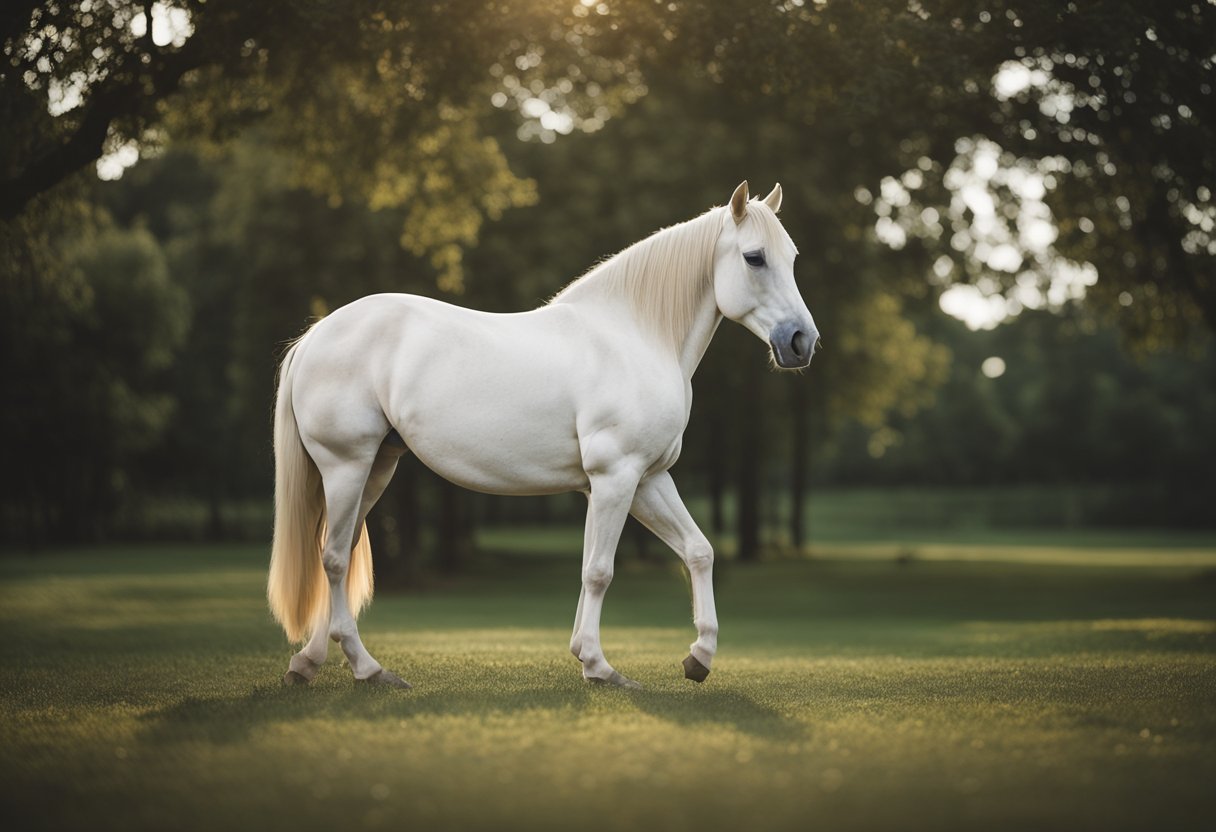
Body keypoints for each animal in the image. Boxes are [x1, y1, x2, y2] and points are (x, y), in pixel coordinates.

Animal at [266, 180, 817, 690]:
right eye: (754, 257)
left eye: (792, 257)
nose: (801, 341)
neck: (635, 336)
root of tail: (316, 336)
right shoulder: (615, 477)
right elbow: (600, 570)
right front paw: (600, 666)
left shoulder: (647, 479)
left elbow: (697, 551)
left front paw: (697, 657)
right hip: (346, 466)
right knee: (335, 558)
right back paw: (367, 668)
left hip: (375, 469)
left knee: (334, 552)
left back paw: (309, 662)